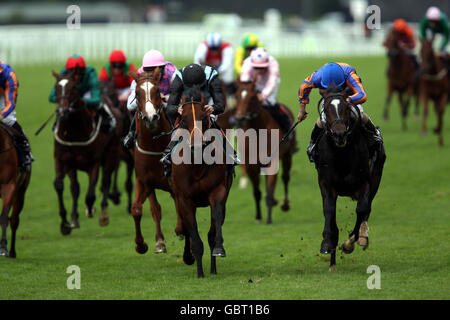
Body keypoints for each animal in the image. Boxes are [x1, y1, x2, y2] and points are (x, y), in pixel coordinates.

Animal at [51, 70, 121, 235]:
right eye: (56, 88)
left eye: (73, 89)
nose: (63, 111)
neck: (74, 132)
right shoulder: (64, 159)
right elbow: (62, 186)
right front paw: (66, 222)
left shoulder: (93, 161)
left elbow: (90, 193)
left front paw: (90, 209)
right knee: (76, 188)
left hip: (111, 153)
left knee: (106, 181)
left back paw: (103, 214)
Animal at [128, 69, 178, 255]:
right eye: (136, 93)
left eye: (157, 91)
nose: (151, 118)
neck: (155, 145)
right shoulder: (143, 180)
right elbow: (137, 209)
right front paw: (141, 245)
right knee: (155, 208)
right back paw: (160, 241)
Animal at [171, 85, 234, 278]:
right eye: (183, 120)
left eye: (204, 118)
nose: (197, 144)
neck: (197, 165)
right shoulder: (184, 199)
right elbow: (192, 232)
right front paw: (199, 271)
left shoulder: (218, 191)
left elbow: (216, 220)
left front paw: (218, 249)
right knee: (186, 229)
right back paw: (189, 257)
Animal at [234, 80, 298, 224]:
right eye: (237, 96)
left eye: (252, 98)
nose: (240, 118)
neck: (257, 131)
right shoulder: (251, 165)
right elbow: (257, 192)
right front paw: (258, 217)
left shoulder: (272, 161)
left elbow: (270, 189)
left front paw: (269, 218)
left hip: (287, 155)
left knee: (285, 178)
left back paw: (284, 204)